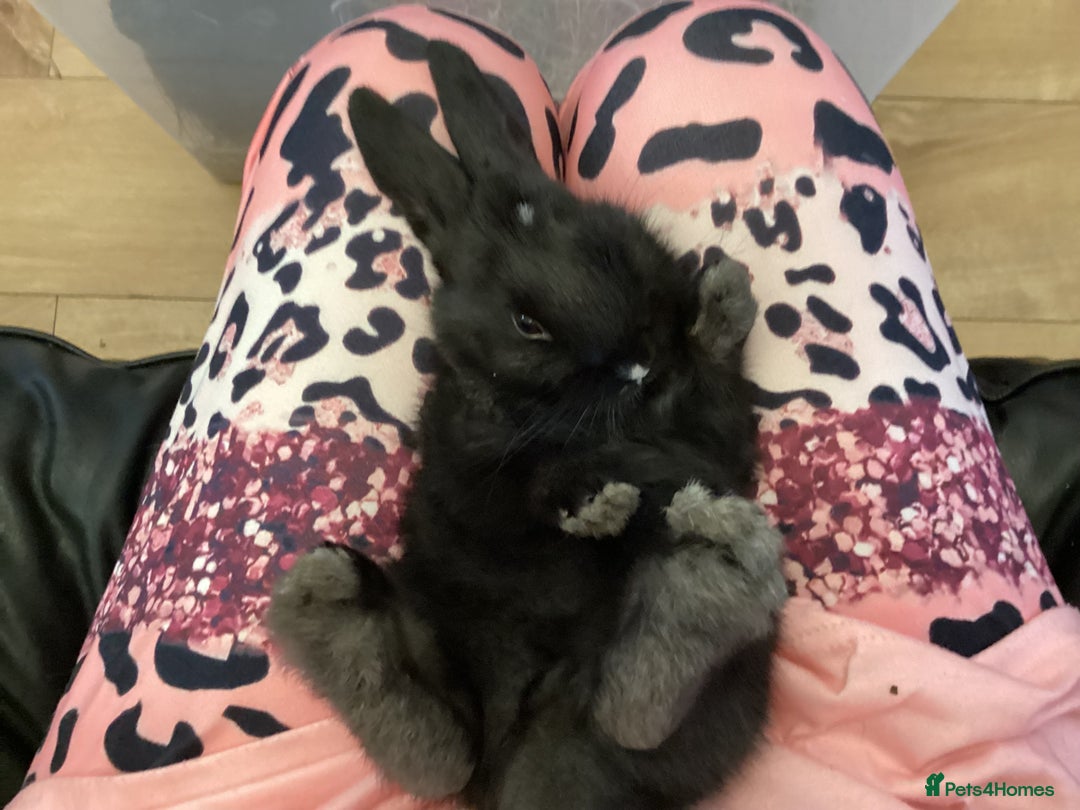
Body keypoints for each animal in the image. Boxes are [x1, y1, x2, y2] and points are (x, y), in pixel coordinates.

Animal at [267, 40, 788, 810]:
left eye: (612, 245)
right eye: (526, 322)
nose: (636, 360)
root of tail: (520, 770)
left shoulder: (708, 434)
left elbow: (714, 389)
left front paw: (724, 293)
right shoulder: (468, 469)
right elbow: (525, 486)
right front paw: (595, 505)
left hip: (712, 692)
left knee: (624, 715)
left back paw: (706, 572)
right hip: (438, 620)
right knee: (453, 750)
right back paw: (329, 609)